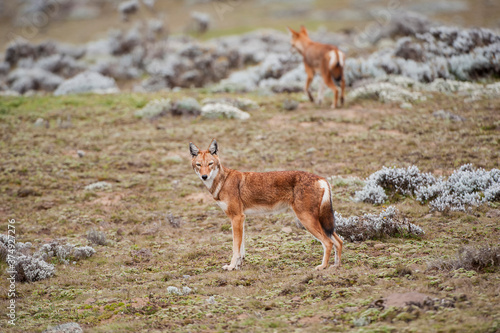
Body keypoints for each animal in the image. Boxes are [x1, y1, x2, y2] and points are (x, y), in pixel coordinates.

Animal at [189, 138, 342, 270]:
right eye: (199, 165)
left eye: (210, 164)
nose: (204, 176)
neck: (222, 181)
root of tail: (322, 178)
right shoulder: (241, 218)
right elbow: (241, 247)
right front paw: (238, 265)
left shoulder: (236, 217)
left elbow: (235, 247)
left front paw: (231, 266)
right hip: (322, 221)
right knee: (338, 241)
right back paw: (336, 266)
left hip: (307, 220)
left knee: (328, 243)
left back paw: (323, 267)